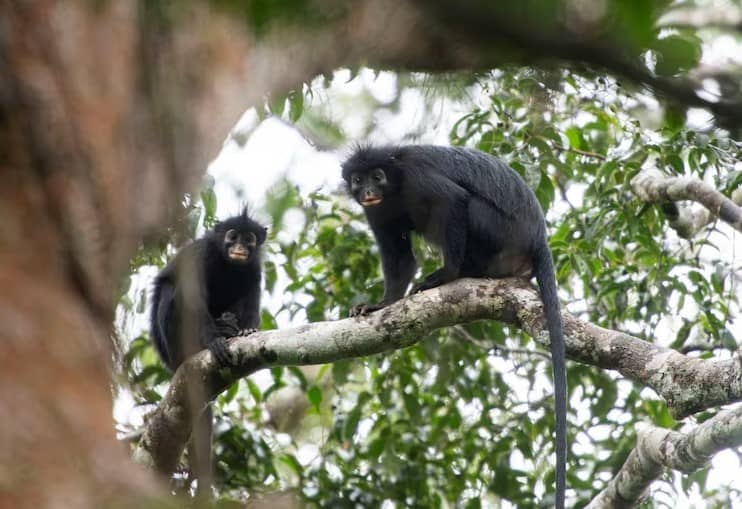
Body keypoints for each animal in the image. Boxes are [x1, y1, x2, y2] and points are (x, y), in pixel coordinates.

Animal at [149, 207, 267, 494]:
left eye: (249, 239)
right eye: (232, 236)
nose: (239, 248)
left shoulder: (254, 267)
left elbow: (252, 295)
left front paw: (246, 331)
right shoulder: (200, 255)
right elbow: (193, 298)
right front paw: (214, 342)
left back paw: (229, 327)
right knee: (171, 289)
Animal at [341, 145, 567, 509]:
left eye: (377, 176)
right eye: (358, 180)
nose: (369, 191)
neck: (396, 187)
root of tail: (538, 238)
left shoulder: (418, 176)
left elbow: (455, 201)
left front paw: (446, 275)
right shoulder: (377, 213)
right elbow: (399, 258)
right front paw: (382, 304)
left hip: (500, 232)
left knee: (468, 206)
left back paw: (461, 272)